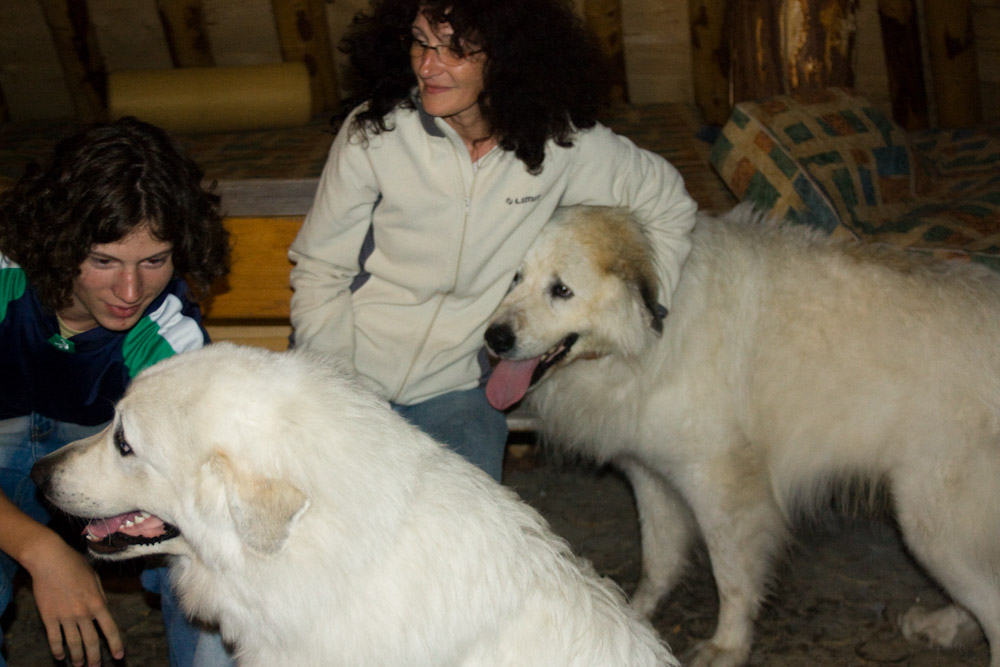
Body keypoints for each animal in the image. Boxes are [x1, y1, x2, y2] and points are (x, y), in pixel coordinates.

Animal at [488, 206, 1000, 664]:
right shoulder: (650, 475)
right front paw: (631, 617)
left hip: (932, 524)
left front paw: (728, 646)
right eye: (514, 278)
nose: (494, 338)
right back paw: (943, 625)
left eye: (561, 290)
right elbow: (658, 562)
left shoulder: (723, 490)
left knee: (991, 606)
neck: (646, 337)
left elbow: (732, 578)